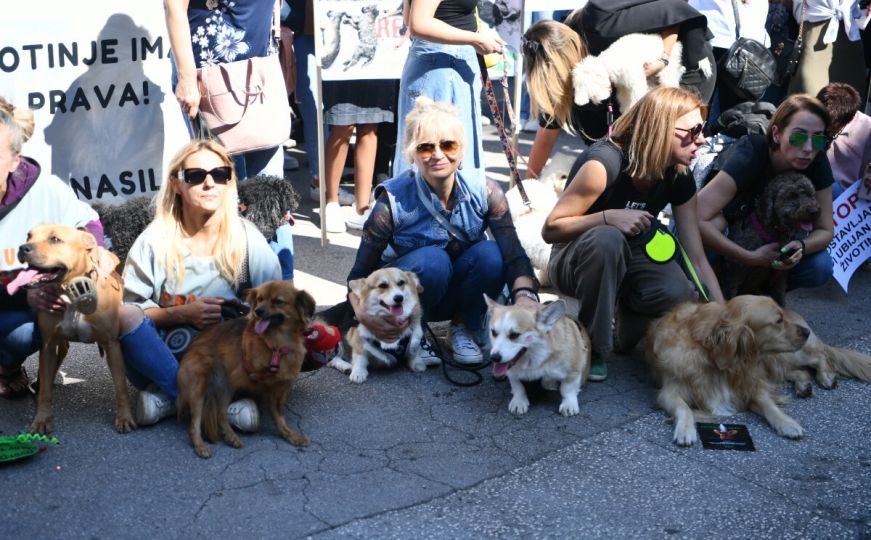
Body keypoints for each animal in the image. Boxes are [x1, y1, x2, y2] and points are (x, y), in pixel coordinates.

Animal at [12, 224, 135, 434]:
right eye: (29, 235)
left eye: (55, 239)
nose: (23, 248)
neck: (71, 295)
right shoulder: (47, 344)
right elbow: (45, 391)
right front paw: (42, 419)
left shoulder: (112, 345)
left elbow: (120, 387)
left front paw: (125, 417)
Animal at [175, 278, 316, 460]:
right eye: (260, 299)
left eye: (278, 301)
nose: (258, 311)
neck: (276, 344)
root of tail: (190, 348)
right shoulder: (259, 376)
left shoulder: (281, 387)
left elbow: (279, 415)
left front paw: (289, 434)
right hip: (198, 388)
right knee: (194, 424)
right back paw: (200, 445)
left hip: (226, 388)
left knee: (221, 414)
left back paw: (231, 436)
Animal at [720, 174, 820, 308]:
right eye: (792, 195)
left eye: (810, 194)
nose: (814, 211)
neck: (772, 231)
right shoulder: (733, 271)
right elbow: (730, 295)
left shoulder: (780, 277)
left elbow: (779, 298)